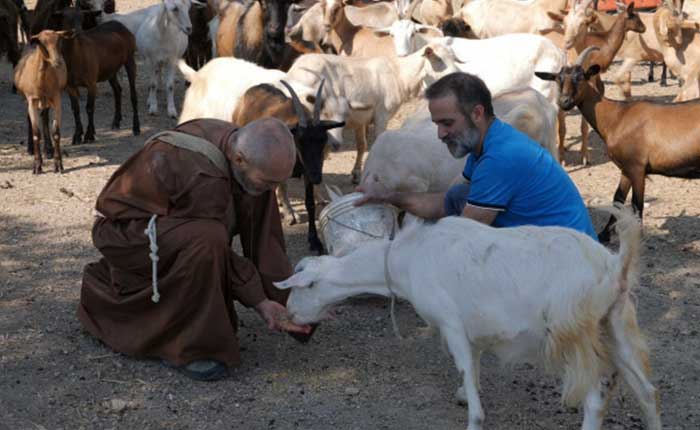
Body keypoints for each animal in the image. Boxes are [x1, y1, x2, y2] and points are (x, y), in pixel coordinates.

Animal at [58, 5, 140, 145]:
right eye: (66, 17)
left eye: (82, 18)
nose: (77, 32)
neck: (76, 56)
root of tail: (119, 24)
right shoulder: (70, 86)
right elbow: (75, 109)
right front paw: (77, 136)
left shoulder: (91, 83)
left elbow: (89, 108)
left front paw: (89, 135)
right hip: (110, 69)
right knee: (117, 90)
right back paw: (116, 122)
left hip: (129, 58)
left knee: (133, 95)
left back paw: (136, 128)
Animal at [274, 212, 660, 430]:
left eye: (302, 288)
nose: (290, 316)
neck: (405, 259)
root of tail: (614, 266)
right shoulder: (471, 329)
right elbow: (472, 368)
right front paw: (463, 392)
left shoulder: (451, 324)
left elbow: (472, 394)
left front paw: (471, 412)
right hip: (616, 323)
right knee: (647, 393)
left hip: (571, 335)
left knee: (595, 401)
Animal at [288, 43, 462, 183]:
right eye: (438, 59)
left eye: (453, 58)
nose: (458, 77)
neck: (399, 75)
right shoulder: (382, 115)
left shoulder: (360, 119)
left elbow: (361, 145)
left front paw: (356, 174)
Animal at [540, 46, 700, 242]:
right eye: (558, 79)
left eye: (581, 77)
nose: (565, 102)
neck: (617, 116)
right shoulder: (626, 168)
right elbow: (617, 199)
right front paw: (604, 234)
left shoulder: (637, 168)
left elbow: (637, 205)